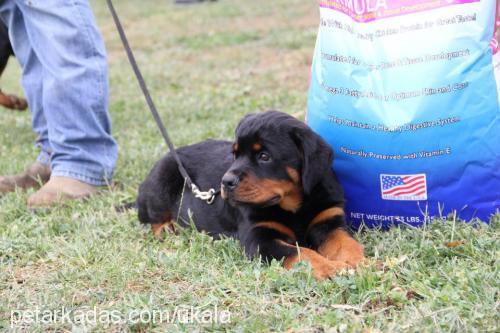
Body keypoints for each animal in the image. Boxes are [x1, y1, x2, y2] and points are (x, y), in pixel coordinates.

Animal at [139, 110, 366, 278]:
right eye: (235, 154)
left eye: (264, 156)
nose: (225, 182)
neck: (293, 206)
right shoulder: (259, 238)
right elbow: (301, 253)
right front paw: (332, 269)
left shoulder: (328, 220)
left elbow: (347, 244)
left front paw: (361, 263)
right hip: (162, 175)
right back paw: (166, 228)